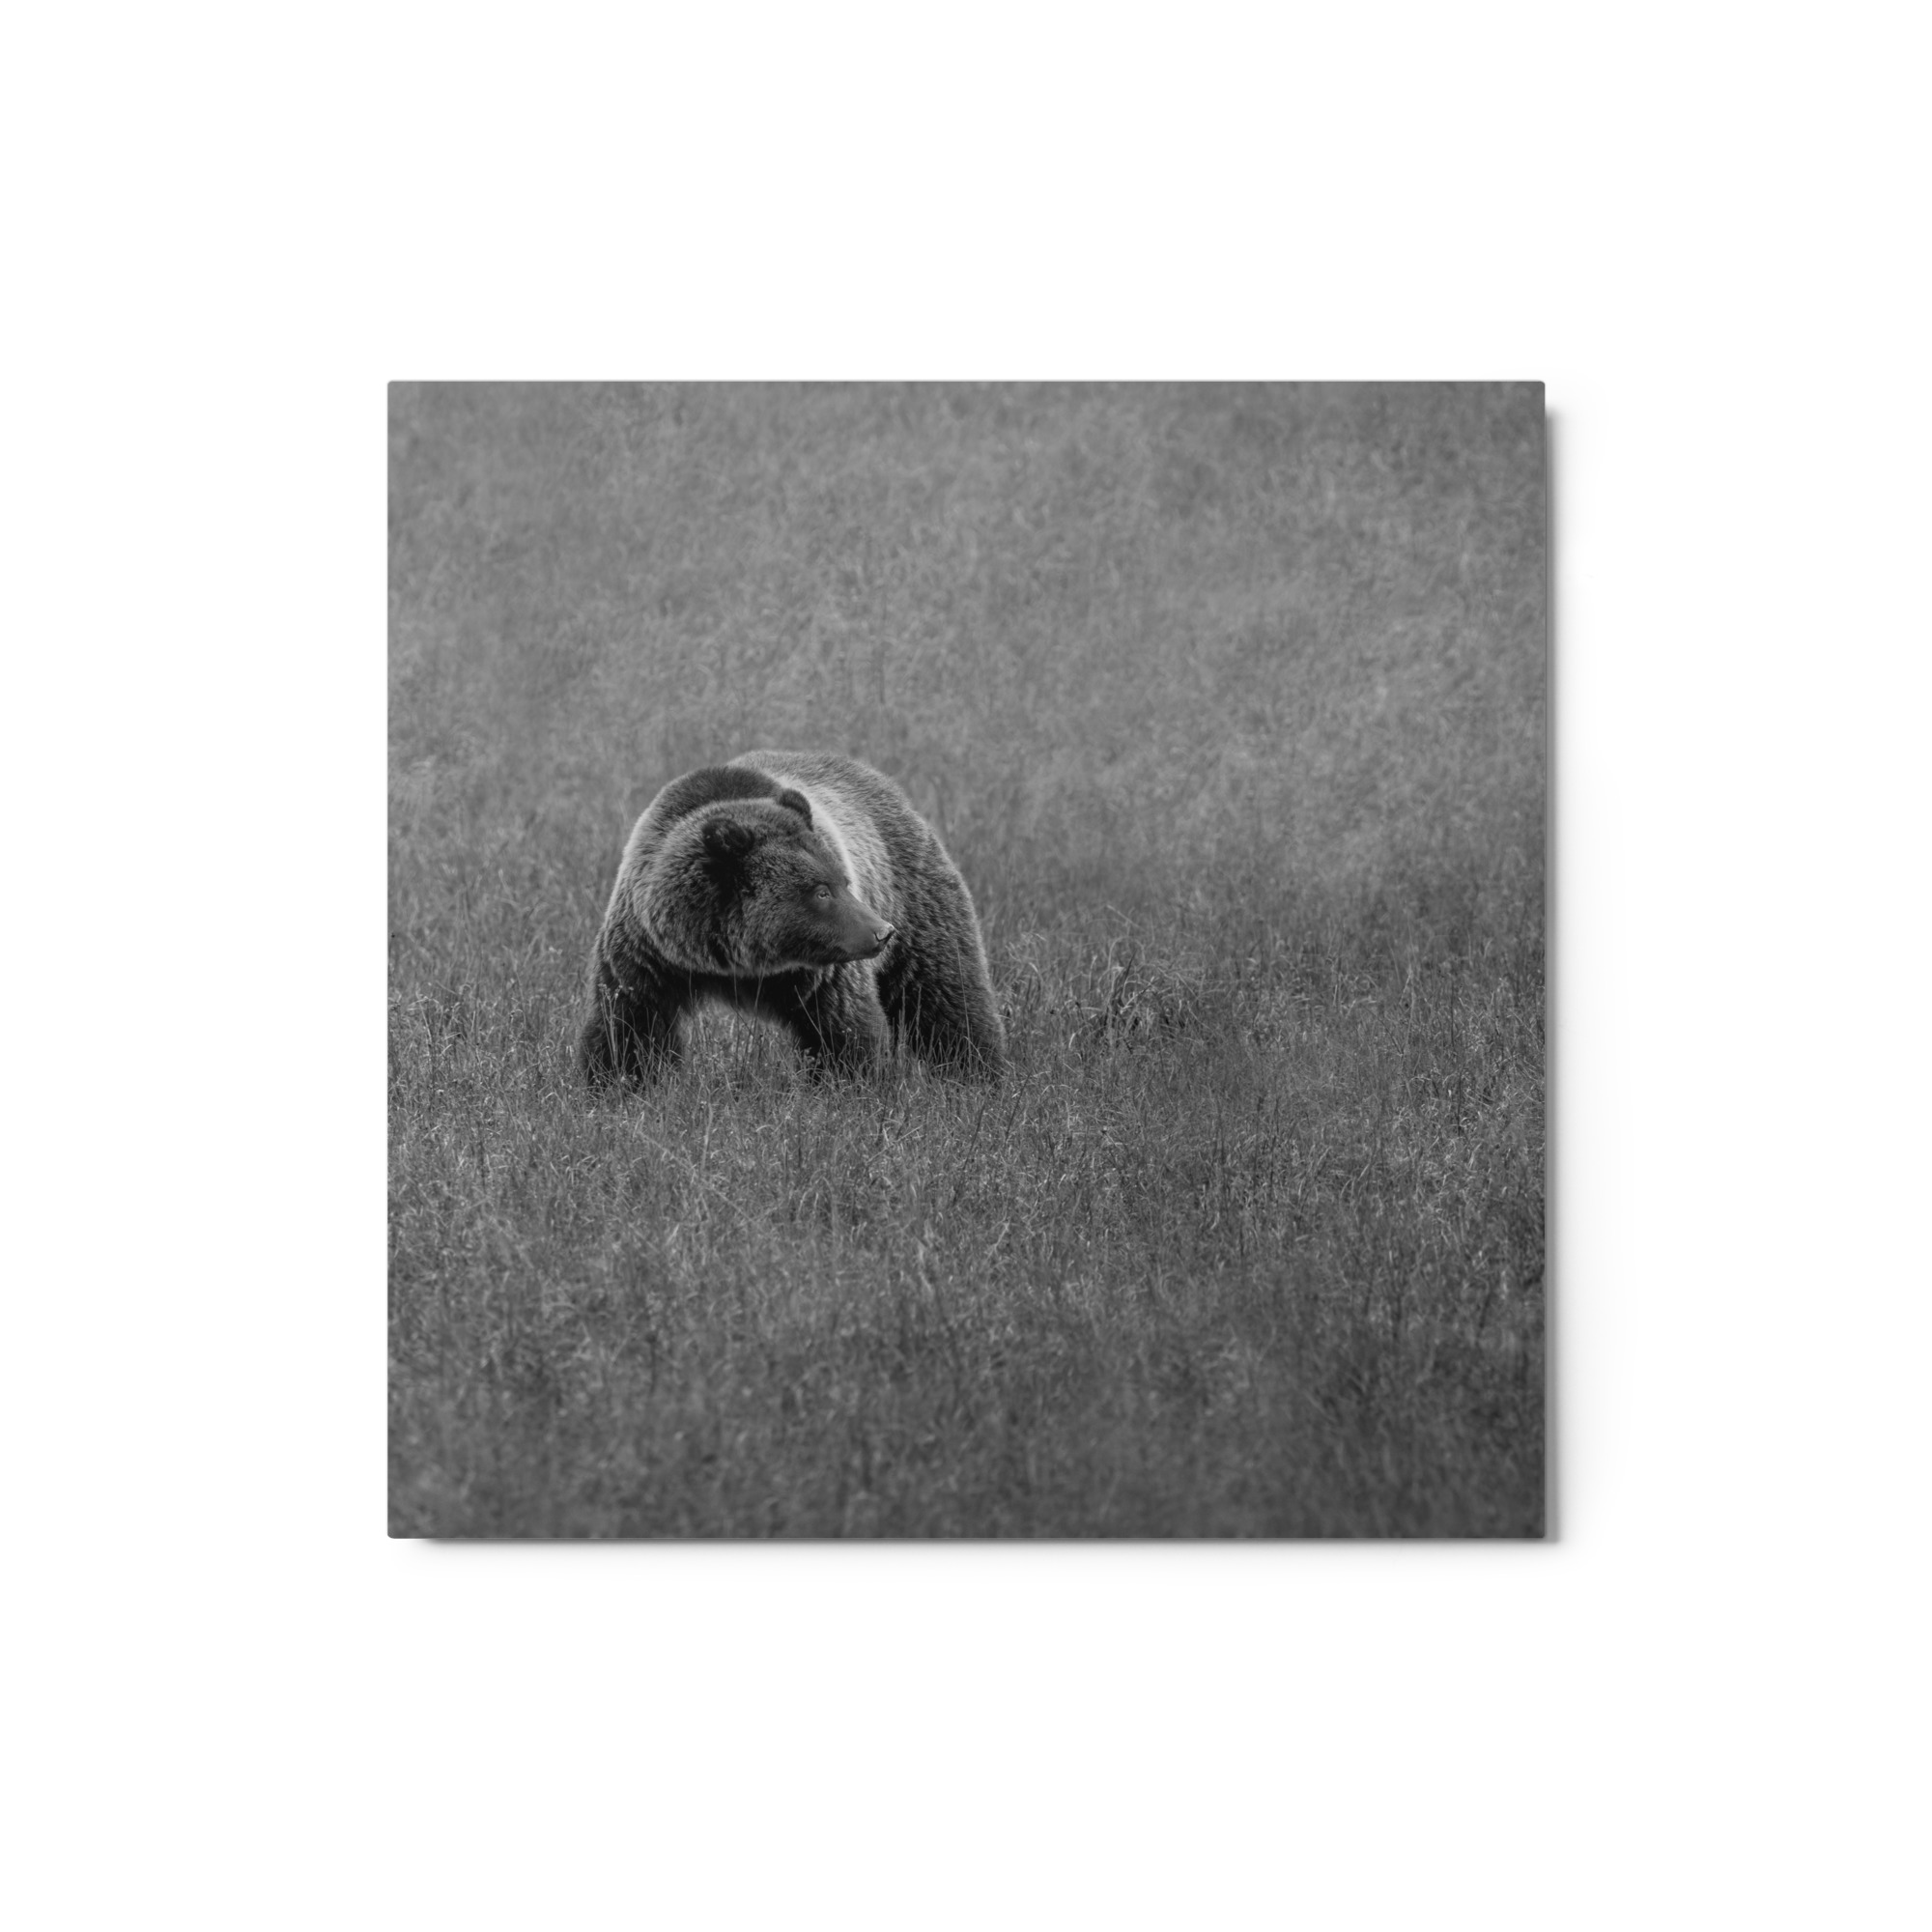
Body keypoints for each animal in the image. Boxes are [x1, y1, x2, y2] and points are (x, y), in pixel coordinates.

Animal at [577, 750, 1006, 1086]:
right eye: (821, 891)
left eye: (843, 881)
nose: (882, 932)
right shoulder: (649, 954)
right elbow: (629, 1027)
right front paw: (617, 1085)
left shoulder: (822, 973)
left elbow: (843, 1030)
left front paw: (852, 1086)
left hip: (915, 898)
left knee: (945, 994)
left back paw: (980, 1075)